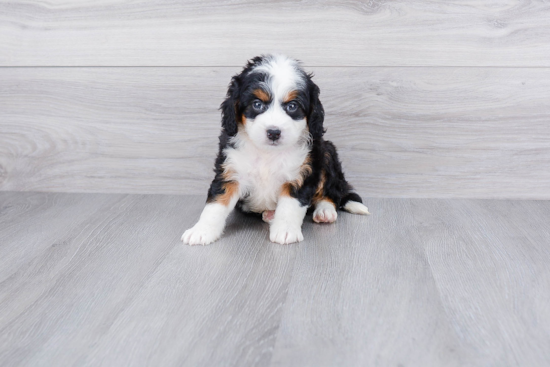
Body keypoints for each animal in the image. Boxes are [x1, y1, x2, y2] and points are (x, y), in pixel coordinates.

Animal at [182, 54, 370, 246]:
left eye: (292, 106)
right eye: (257, 104)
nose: (273, 132)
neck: (267, 153)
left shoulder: (300, 172)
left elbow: (290, 205)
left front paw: (286, 231)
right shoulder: (231, 170)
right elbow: (216, 203)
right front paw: (202, 231)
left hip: (326, 153)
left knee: (332, 192)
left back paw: (325, 211)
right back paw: (270, 214)